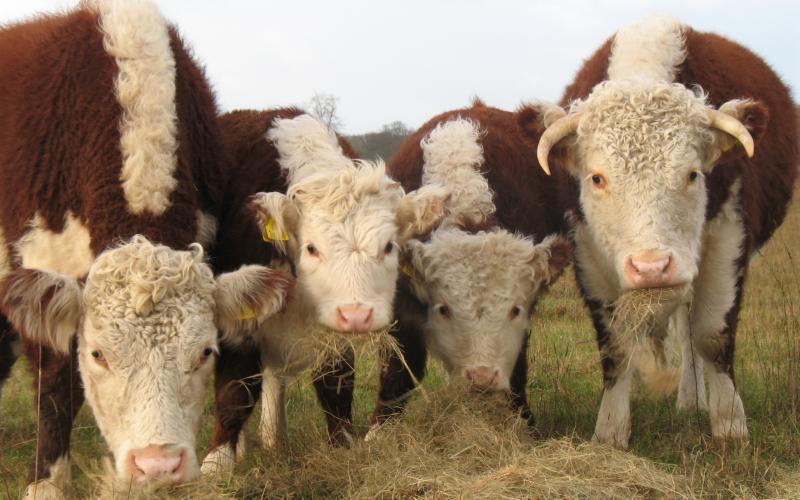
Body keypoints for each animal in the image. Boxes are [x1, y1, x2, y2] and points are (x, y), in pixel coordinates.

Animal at [200, 109, 450, 472]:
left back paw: (275, 439)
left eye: (389, 246)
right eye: (312, 248)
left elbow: (336, 386)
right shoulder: (240, 320)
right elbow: (234, 391)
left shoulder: (331, 332)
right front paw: (217, 462)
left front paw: (342, 446)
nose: (357, 315)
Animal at [372, 100, 572, 430]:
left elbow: (518, 369)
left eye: (515, 310)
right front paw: (379, 431)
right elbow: (398, 370)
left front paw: (523, 424)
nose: (481, 378)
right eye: (444, 310)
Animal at [524, 15, 800, 448]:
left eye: (693, 174)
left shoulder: (729, 235)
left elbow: (711, 335)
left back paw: (695, 400)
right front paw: (610, 431)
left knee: (689, 330)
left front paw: (730, 425)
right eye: (597, 178)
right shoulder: (587, 249)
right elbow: (616, 346)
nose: (651, 267)